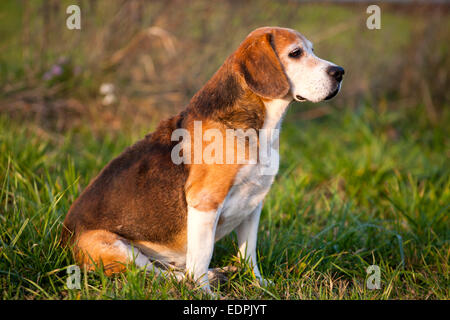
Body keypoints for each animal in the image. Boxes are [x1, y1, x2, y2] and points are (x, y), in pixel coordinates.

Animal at [60, 26, 344, 294]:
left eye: (312, 50)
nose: (340, 71)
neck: (259, 131)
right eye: (296, 53)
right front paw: (205, 293)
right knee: (154, 274)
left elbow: (249, 254)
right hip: (113, 246)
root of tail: (63, 240)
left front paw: (258, 284)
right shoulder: (205, 202)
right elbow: (202, 256)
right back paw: (201, 278)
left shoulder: (254, 203)